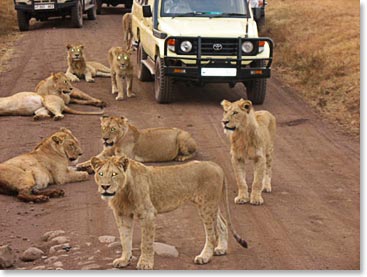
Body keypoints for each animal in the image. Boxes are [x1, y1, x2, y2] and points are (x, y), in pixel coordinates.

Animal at [90, 155, 249, 270]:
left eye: (114, 174)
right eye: (101, 173)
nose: (105, 186)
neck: (121, 192)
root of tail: (216, 165)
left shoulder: (148, 214)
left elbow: (146, 242)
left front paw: (145, 263)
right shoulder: (122, 215)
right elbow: (125, 239)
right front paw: (124, 260)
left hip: (206, 205)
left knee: (212, 234)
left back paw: (204, 257)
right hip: (210, 205)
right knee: (222, 224)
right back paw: (221, 249)